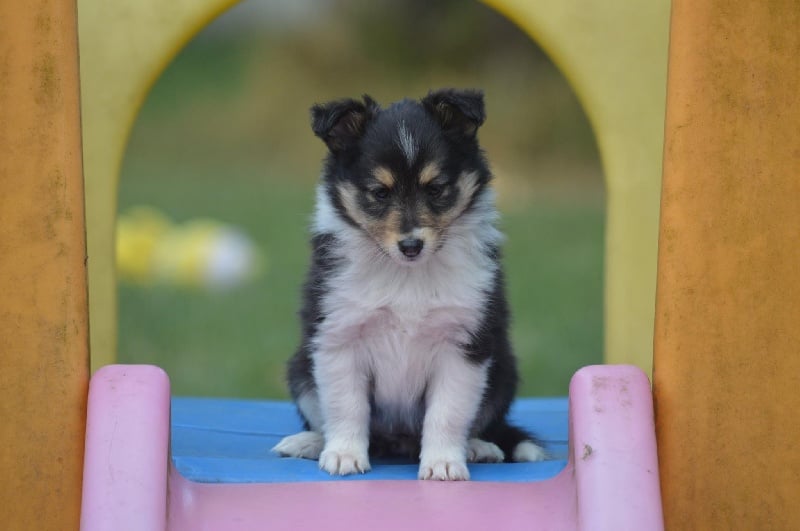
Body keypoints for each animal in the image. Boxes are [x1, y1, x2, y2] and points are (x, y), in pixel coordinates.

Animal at [272, 89, 548, 480]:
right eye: (379, 192)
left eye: (436, 188)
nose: (411, 246)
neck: (405, 274)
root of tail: (397, 441)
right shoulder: (338, 336)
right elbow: (346, 406)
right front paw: (343, 455)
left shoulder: (464, 345)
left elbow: (447, 412)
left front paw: (444, 463)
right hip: (299, 369)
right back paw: (308, 442)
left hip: (502, 372)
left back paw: (479, 447)